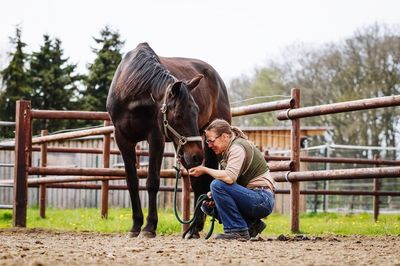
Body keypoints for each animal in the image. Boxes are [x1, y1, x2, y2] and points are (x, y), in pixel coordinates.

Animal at [106, 42, 231, 238]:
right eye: (178, 115)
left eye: (196, 112)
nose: (197, 155)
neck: (131, 93)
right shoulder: (122, 139)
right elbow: (132, 182)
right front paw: (135, 226)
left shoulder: (155, 138)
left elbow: (152, 182)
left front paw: (149, 227)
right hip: (185, 152)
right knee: (197, 180)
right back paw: (194, 229)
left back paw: (194, 227)